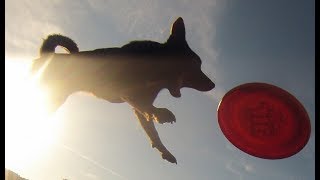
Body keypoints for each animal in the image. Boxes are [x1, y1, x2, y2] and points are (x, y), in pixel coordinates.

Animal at [31, 17, 215, 164]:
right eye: (196, 63)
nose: (213, 85)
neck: (158, 73)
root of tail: (47, 55)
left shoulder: (138, 105)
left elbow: (152, 131)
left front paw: (164, 150)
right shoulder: (124, 89)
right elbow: (146, 108)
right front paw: (161, 114)